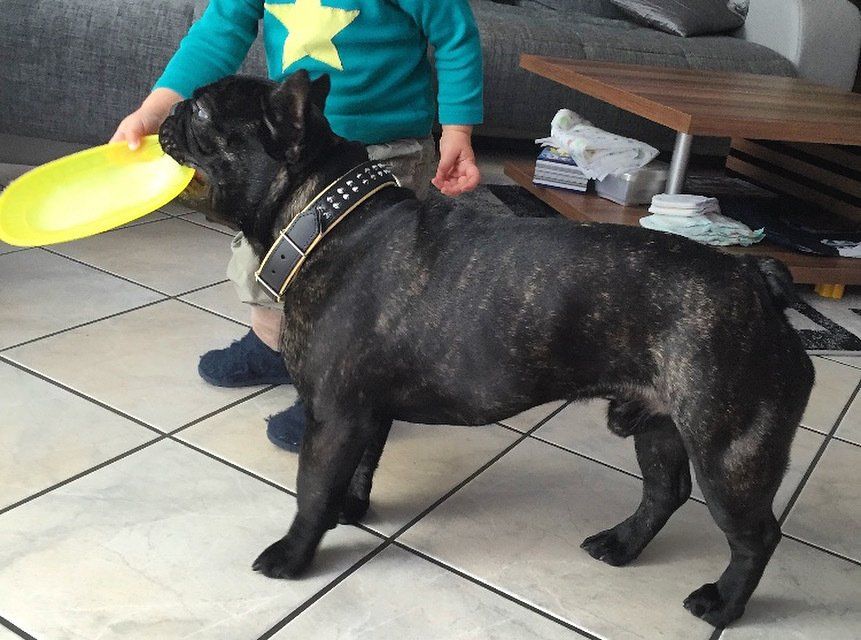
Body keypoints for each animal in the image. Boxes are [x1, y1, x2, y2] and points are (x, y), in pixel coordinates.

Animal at [160, 70, 814, 629]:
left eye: (203, 109)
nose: (167, 111)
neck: (325, 219)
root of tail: (757, 281)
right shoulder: (365, 413)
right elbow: (364, 465)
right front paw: (355, 507)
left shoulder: (334, 416)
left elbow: (312, 490)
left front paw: (295, 554)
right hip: (660, 424)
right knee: (665, 491)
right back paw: (621, 544)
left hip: (728, 454)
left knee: (756, 536)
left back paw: (724, 604)